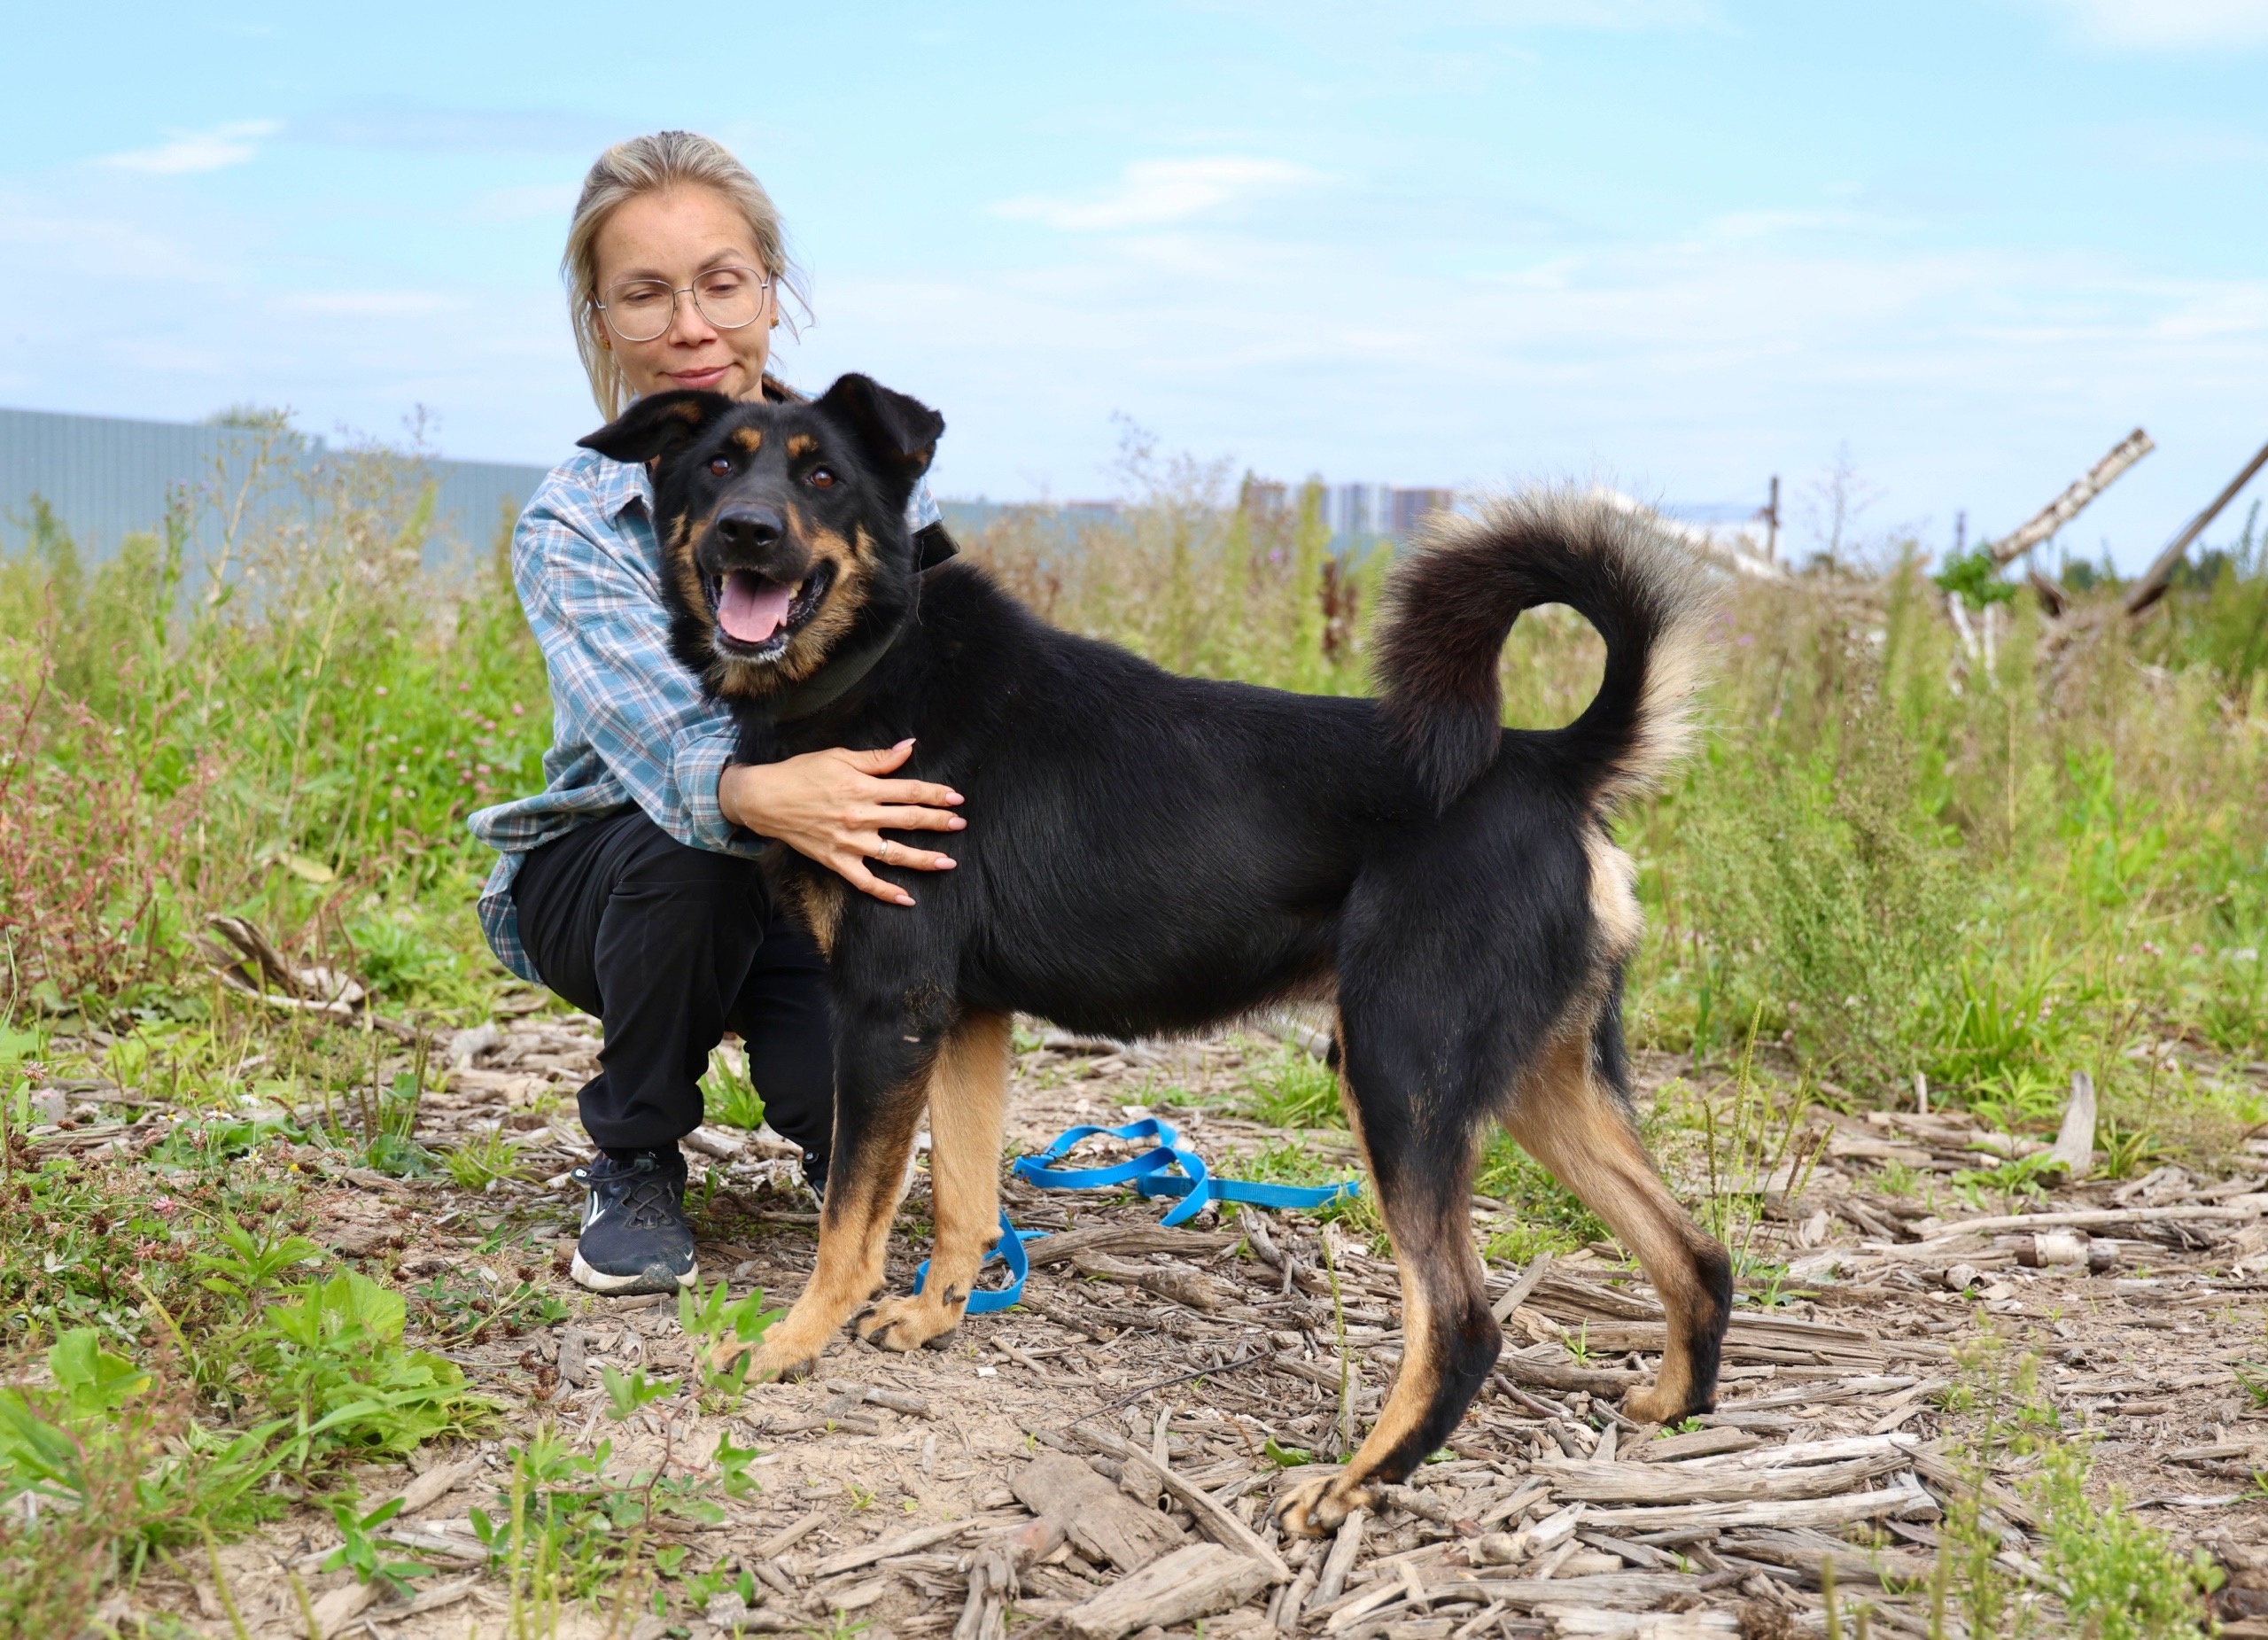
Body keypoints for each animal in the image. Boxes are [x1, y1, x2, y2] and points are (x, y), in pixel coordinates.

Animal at [577, 375, 1734, 1534]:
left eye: (821, 475)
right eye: (718, 466)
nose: (746, 531)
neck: (877, 659)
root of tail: (1543, 762)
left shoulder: (884, 1008)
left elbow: (848, 1220)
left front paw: (786, 1344)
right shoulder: (962, 1019)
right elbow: (961, 1196)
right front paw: (935, 1318)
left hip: (1399, 1077)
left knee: (1461, 1323)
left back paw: (1351, 1484)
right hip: (1534, 1079)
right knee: (1696, 1252)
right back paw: (1674, 1408)